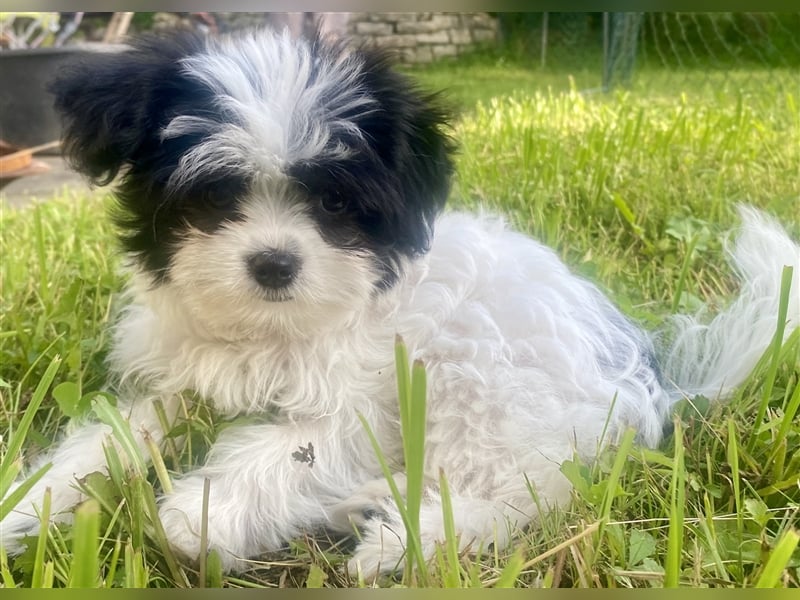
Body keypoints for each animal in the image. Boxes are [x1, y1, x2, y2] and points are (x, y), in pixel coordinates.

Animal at [1, 27, 800, 576]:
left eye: (333, 203)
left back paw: (395, 541)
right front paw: (30, 503)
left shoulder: (364, 405)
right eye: (216, 197)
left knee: (522, 491)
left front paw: (199, 517)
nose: (274, 263)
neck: (272, 330)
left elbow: (288, 449)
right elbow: (108, 438)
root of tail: (650, 379)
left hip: (487, 381)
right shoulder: (176, 384)